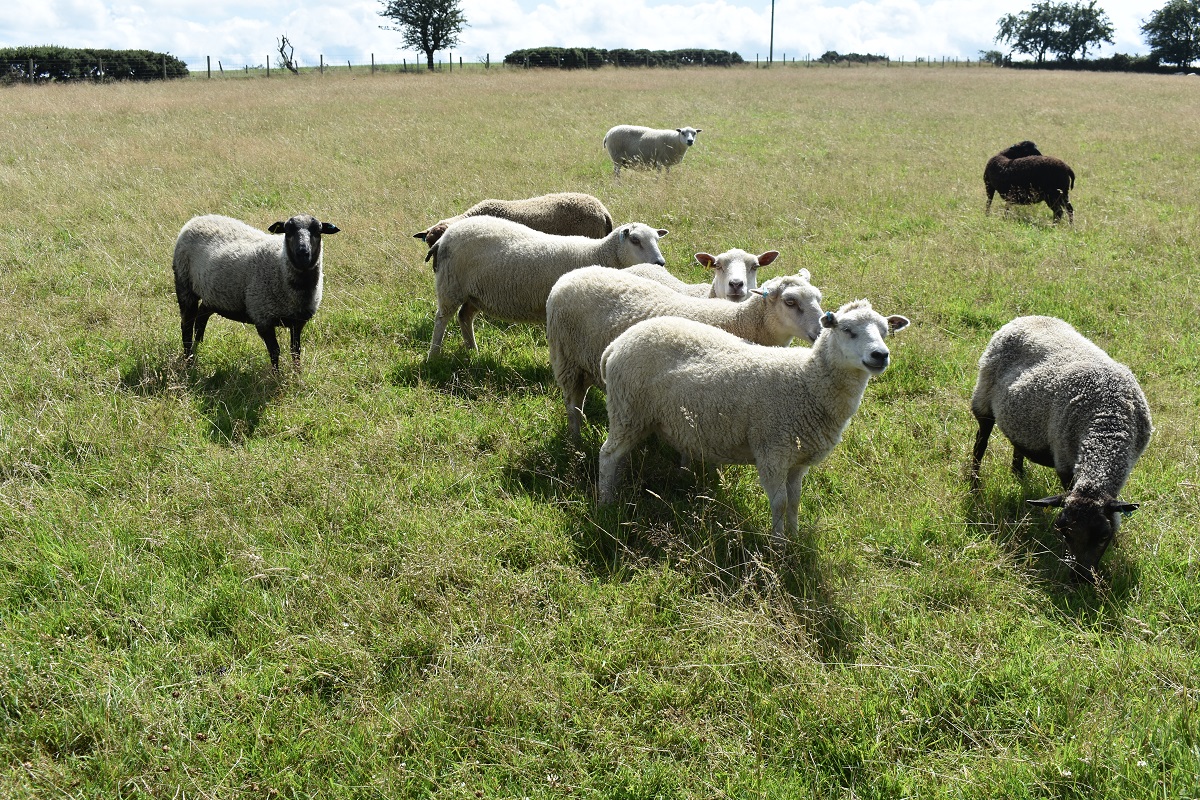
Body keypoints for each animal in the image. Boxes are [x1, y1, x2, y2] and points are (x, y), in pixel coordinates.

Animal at [173, 213, 340, 370]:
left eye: (318, 231)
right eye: (288, 231)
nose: (302, 253)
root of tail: (198, 218)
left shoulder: (297, 322)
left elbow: (295, 351)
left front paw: (297, 374)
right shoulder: (263, 318)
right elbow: (275, 351)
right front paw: (276, 376)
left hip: (213, 295)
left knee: (201, 317)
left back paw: (198, 345)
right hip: (184, 285)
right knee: (186, 326)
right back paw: (189, 359)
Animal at [425, 216, 668, 358]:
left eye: (657, 239)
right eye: (635, 240)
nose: (660, 263)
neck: (596, 254)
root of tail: (444, 237)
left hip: (476, 294)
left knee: (464, 317)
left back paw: (472, 350)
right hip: (450, 285)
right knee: (442, 319)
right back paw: (434, 355)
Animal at [547, 267, 824, 441]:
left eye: (818, 298)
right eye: (790, 301)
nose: (822, 330)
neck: (740, 321)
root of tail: (571, 275)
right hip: (565, 358)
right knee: (572, 403)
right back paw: (576, 441)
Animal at [597, 301, 909, 547]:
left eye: (885, 332)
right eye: (847, 330)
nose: (880, 355)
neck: (807, 382)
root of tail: (616, 344)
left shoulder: (799, 458)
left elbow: (795, 500)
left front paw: (795, 537)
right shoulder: (773, 451)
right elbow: (780, 502)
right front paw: (778, 546)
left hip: (637, 415)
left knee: (619, 455)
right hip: (628, 410)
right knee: (608, 455)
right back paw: (605, 502)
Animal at [969, 315, 1152, 579]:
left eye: (1103, 537)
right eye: (1064, 532)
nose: (1081, 578)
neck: (1107, 422)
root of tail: (1026, 317)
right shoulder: (1065, 462)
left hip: (1024, 417)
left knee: (1018, 443)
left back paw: (1017, 472)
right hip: (983, 396)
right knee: (980, 443)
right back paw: (974, 483)